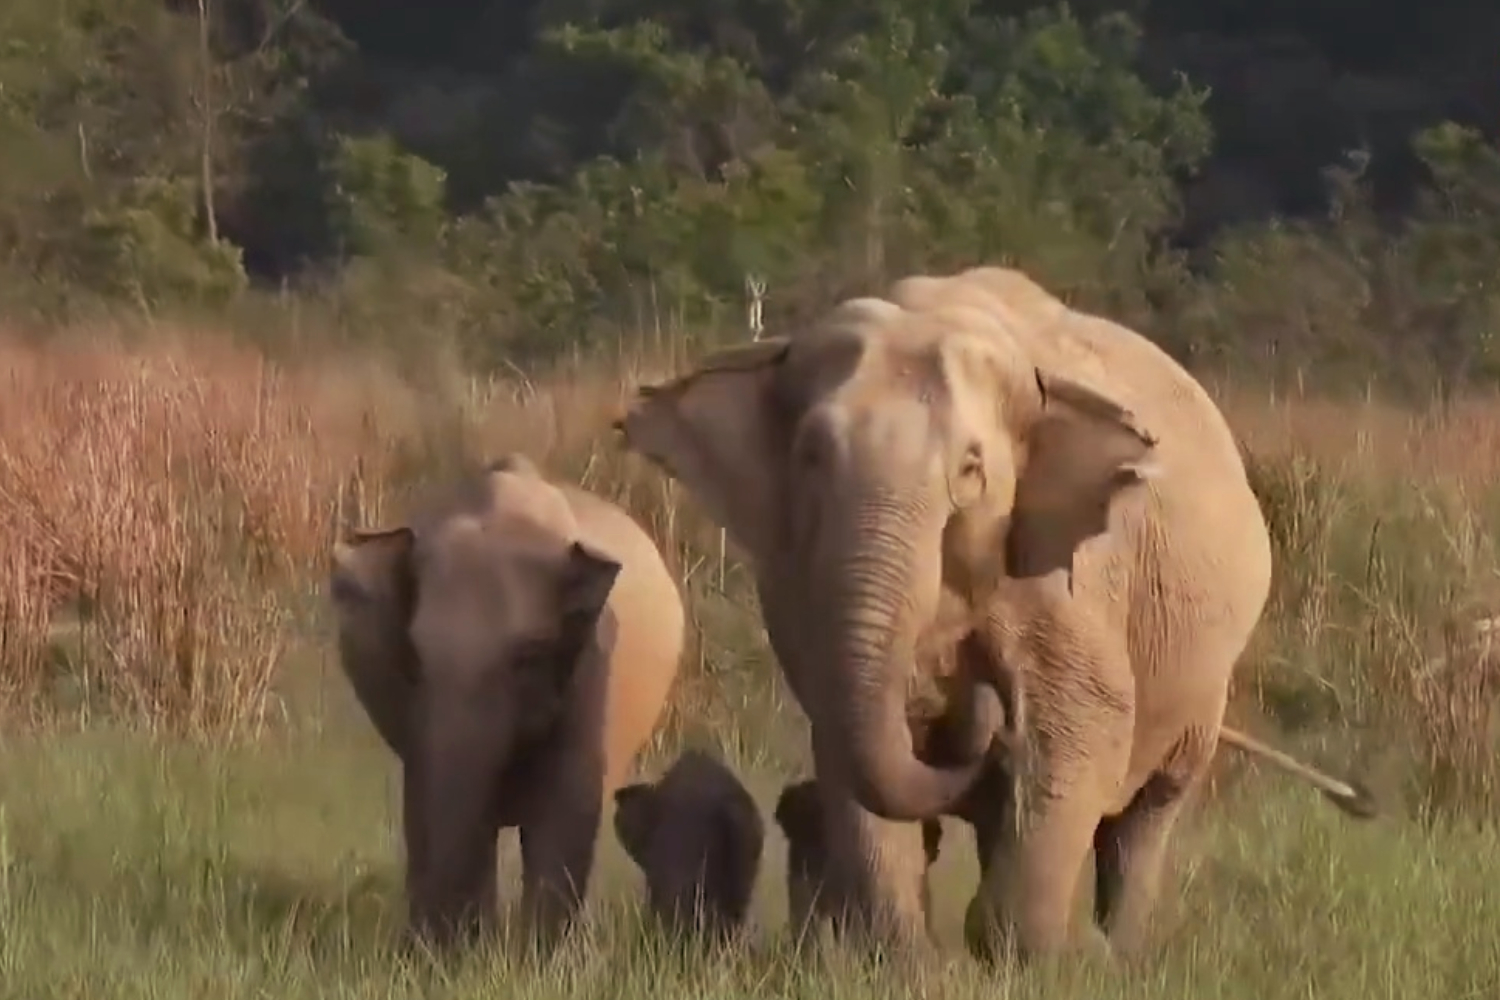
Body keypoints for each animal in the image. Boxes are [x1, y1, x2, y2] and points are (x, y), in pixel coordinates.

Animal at [327, 453, 686, 952]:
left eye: (528, 656)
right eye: (414, 654)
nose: (427, 944)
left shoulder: (592, 664)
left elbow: (567, 805)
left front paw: (540, 957)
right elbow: (426, 793)